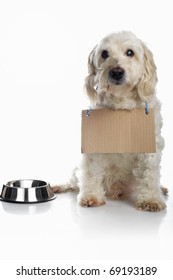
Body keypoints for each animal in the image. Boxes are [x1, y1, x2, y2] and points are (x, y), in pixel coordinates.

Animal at [53, 30, 168, 211]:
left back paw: (161, 189)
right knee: (74, 181)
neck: (121, 105)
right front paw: (91, 196)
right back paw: (60, 186)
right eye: (104, 54)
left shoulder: (150, 145)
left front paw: (150, 199)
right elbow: (91, 172)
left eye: (130, 52)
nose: (116, 72)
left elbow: (149, 175)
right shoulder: (94, 144)